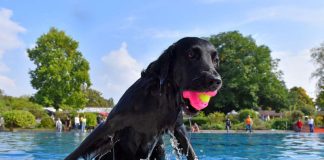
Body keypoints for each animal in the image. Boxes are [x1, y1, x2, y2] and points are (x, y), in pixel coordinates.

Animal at [66, 37, 223, 160]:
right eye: (191, 54)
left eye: (215, 60)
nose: (215, 81)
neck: (159, 101)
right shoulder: (108, 125)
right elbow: (75, 153)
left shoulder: (177, 127)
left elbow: (191, 152)